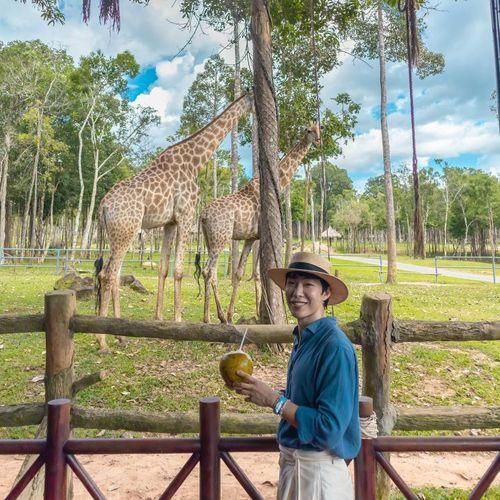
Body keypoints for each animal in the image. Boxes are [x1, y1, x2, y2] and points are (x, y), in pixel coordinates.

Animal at [94, 94, 254, 352]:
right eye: (252, 101)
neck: (195, 162)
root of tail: (102, 207)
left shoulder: (169, 222)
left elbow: (163, 268)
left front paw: (159, 320)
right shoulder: (185, 215)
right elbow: (179, 270)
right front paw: (179, 322)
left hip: (116, 233)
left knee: (111, 274)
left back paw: (119, 335)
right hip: (127, 230)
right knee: (108, 275)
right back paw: (102, 339)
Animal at [198, 123, 320, 322]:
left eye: (320, 128)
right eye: (309, 130)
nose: (317, 140)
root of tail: (203, 215)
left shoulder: (251, 237)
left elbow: (242, 273)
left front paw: (238, 314)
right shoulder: (263, 234)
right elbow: (261, 273)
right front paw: (262, 312)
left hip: (209, 240)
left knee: (210, 272)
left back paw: (220, 316)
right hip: (220, 238)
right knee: (208, 270)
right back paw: (210, 317)